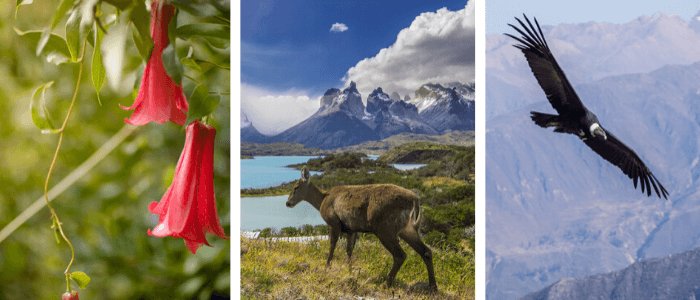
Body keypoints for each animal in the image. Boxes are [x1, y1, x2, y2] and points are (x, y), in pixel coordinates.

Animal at [284, 166, 438, 290]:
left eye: (296, 187)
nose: (287, 203)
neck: (322, 201)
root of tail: (415, 200)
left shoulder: (334, 222)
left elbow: (332, 245)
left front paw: (327, 266)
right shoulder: (352, 229)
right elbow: (349, 249)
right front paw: (350, 269)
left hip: (385, 228)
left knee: (400, 255)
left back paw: (386, 283)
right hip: (408, 229)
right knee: (426, 251)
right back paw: (432, 286)